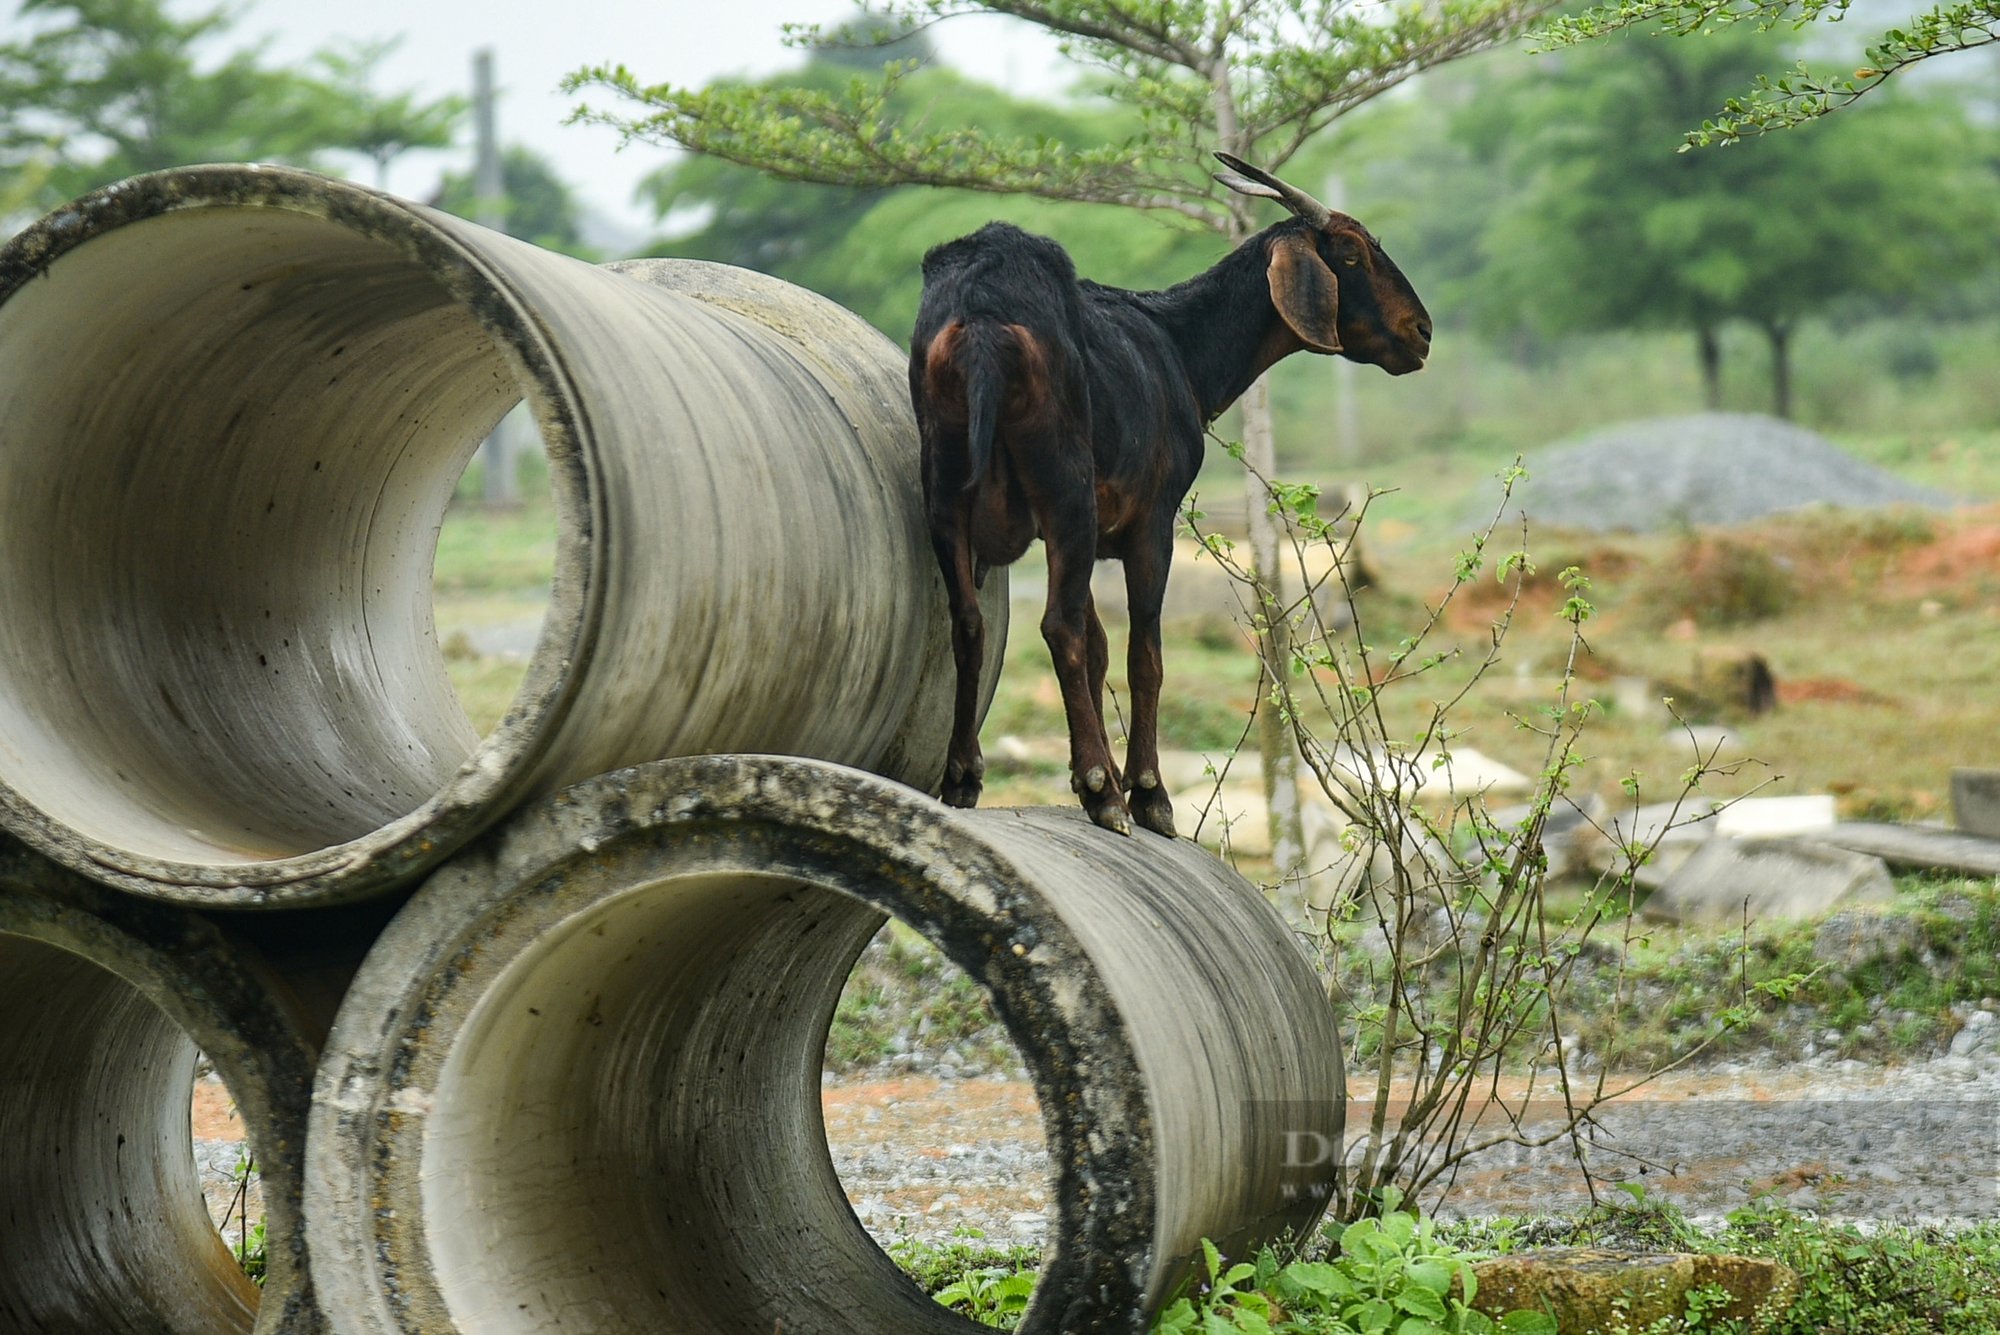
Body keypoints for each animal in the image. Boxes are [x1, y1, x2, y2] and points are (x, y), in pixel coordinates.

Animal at [916, 153, 1432, 835]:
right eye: (1349, 253)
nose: (1421, 332)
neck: (1179, 348)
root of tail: (978, 318)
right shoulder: (1151, 522)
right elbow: (1143, 653)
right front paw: (1142, 792)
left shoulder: (1088, 533)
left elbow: (1101, 645)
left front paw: (1101, 778)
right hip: (1065, 488)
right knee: (1057, 626)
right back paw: (1103, 792)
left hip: (945, 487)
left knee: (972, 621)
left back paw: (963, 777)